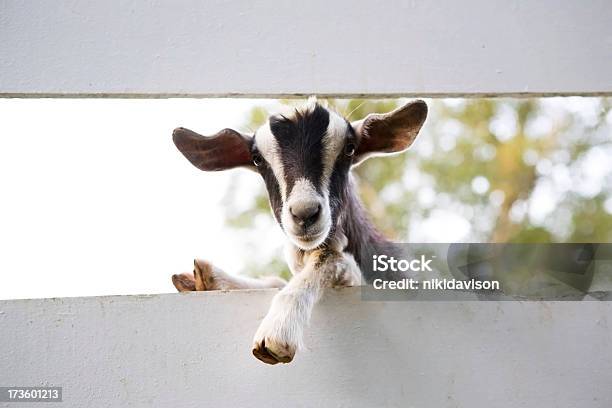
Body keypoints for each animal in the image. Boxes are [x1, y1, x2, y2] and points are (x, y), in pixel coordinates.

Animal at [169, 98, 426, 364]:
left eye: (350, 148)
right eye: (257, 158)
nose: (305, 213)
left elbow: (330, 258)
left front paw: (279, 328)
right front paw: (208, 279)